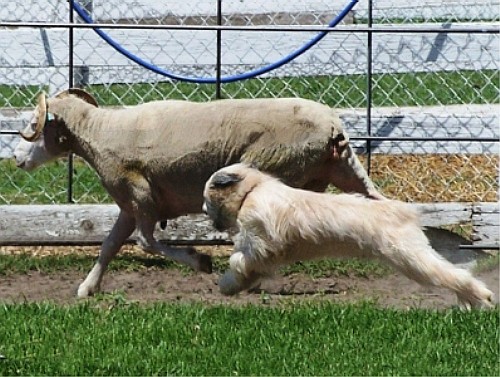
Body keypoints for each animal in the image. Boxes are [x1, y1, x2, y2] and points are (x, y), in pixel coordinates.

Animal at [14, 88, 382, 296]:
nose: (16, 157)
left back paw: (246, 278)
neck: (99, 132)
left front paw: (199, 261)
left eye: (34, 123)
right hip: (343, 170)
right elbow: (108, 246)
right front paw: (87, 288)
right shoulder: (129, 205)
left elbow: (145, 242)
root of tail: (333, 127)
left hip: (275, 172)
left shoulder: (142, 197)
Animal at [201, 162, 494, 308]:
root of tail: (402, 210)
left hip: (411, 259)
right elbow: (248, 268)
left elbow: (239, 260)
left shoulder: (259, 240)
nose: (203, 209)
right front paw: (235, 286)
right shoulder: (266, 255)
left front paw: (227, 284)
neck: (254, 189)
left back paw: (480, 297)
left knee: (453, 275)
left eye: (207, 196)